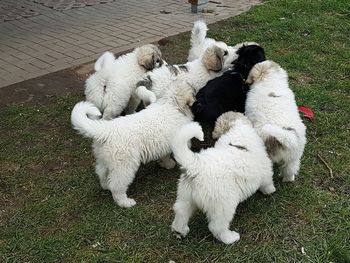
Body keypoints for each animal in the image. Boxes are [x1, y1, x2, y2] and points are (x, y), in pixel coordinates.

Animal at [71, 80, 196, 208]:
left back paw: (105, 185)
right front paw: (171, 164)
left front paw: (165, 164)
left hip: (104, 158)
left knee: (101, 172)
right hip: (124, 166)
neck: (171, 103)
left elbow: (164, 156)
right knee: (116, 185)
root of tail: (106, 130)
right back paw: (125, 202)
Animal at [171, 112, 274, 245]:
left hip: (186, 197)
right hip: (224, 205)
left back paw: (180, 231)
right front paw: (270, 190)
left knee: (180, 212)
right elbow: (267, 181)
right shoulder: (265, 169)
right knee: (216, 226)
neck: (236, 130)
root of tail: (195, 167)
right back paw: (230, 238)